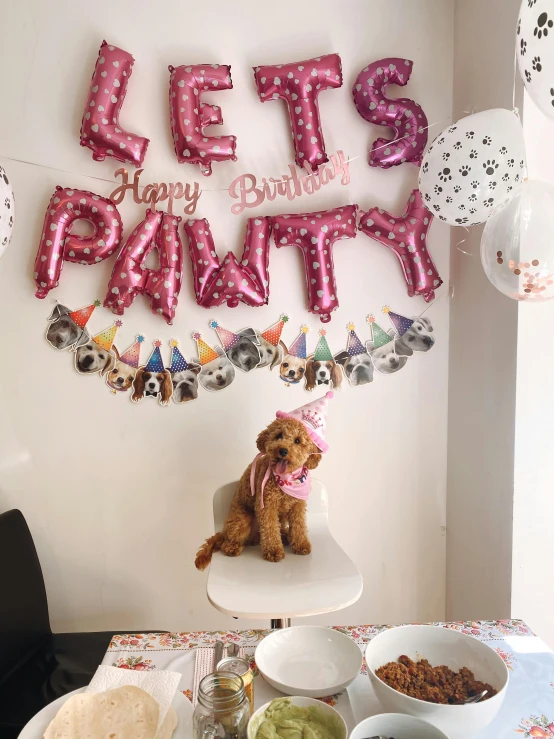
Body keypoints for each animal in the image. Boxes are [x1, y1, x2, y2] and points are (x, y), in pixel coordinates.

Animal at [196, 420, 322, 568]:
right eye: (279, 435)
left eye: (297, 440)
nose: (283, 451)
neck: (286, 477)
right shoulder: (267, 505)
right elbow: (270, 528)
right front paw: (273, 551)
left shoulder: (298, 505)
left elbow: (299, 526)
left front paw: (301, 545)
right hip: (241, 521)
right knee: (226, 542)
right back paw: (233, 547)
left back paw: (284, 536)